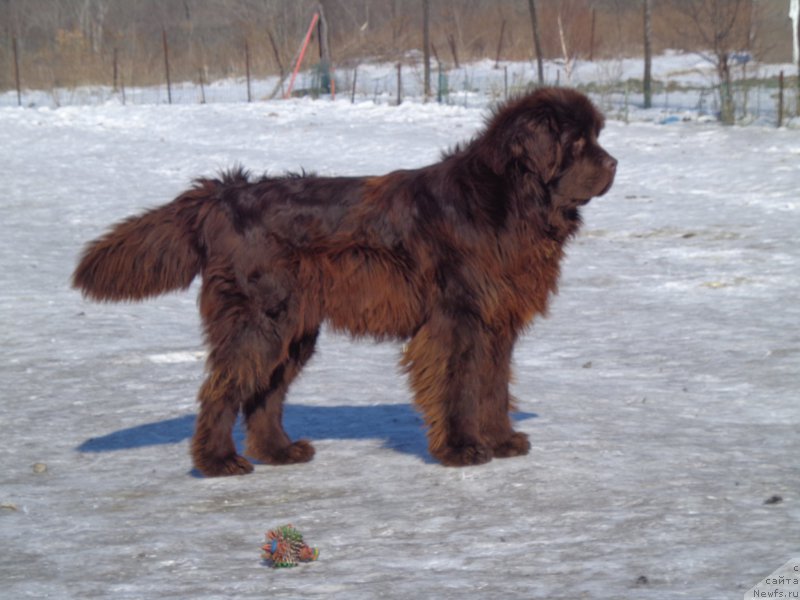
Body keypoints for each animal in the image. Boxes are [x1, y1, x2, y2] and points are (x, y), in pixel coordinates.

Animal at [72, 86, 616, 476]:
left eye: (596, 137)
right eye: (577, 143)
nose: (614, 163)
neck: (510, 200)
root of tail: (223, 195)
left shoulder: (496, 320)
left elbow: (493, 384)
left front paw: (501, 441)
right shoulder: (456, 319)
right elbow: (458, 385)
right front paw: (461, 448)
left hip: (293, 328)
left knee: (266, 394)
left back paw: (279, 451)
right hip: (258, 320)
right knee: (222, 389)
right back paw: (218, 461)